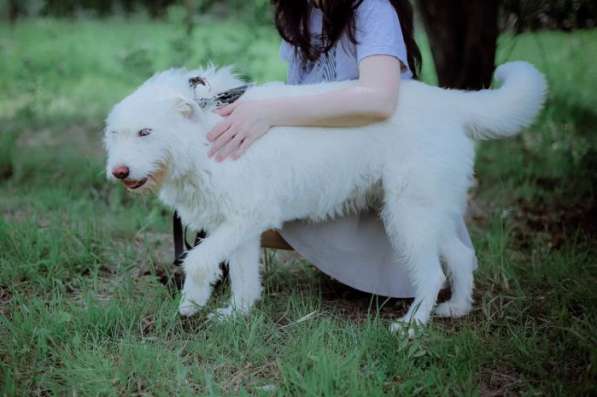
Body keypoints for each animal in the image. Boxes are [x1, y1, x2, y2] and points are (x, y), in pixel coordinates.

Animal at [103, 60, 544, 330]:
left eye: (146, 132)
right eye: (116, 134)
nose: (118, 172)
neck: (203, 133)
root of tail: (450, 102)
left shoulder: (247, 216)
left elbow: (197, 259)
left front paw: (192, 301)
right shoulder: (239, 224)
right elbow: (243, 277)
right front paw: (236, 315)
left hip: (409, 215)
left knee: (433, 273)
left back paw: (412, 327)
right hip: (430, 211)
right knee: (462, 256)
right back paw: (456, 309)